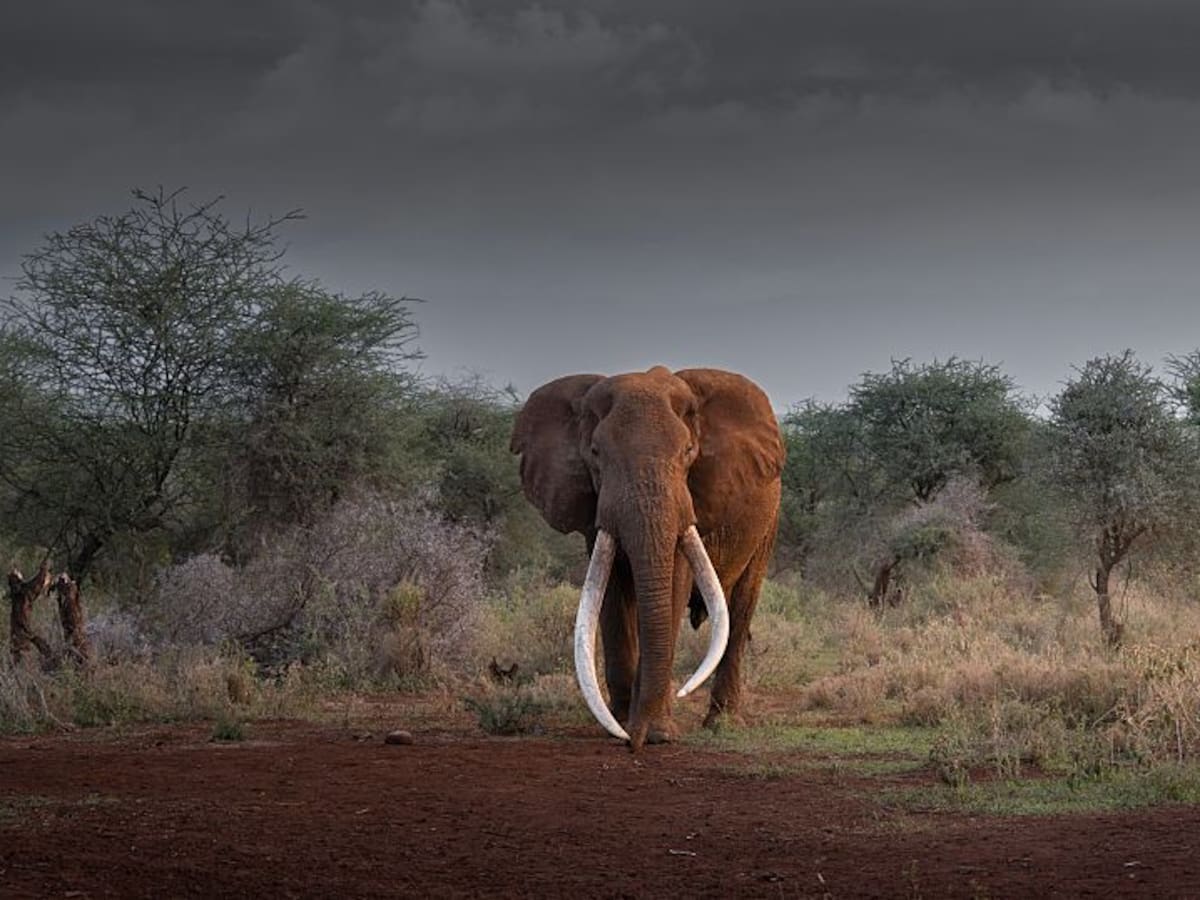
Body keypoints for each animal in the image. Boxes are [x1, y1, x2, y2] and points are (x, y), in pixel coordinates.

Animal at [510, 365, 784, 750]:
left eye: (688, 451)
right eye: (595, 453)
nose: (633, 743)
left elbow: (673, 585)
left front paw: (656, 734)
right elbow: (610, 594)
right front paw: (621, 725)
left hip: (769, 520)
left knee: (742, 604)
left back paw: (722, 723)